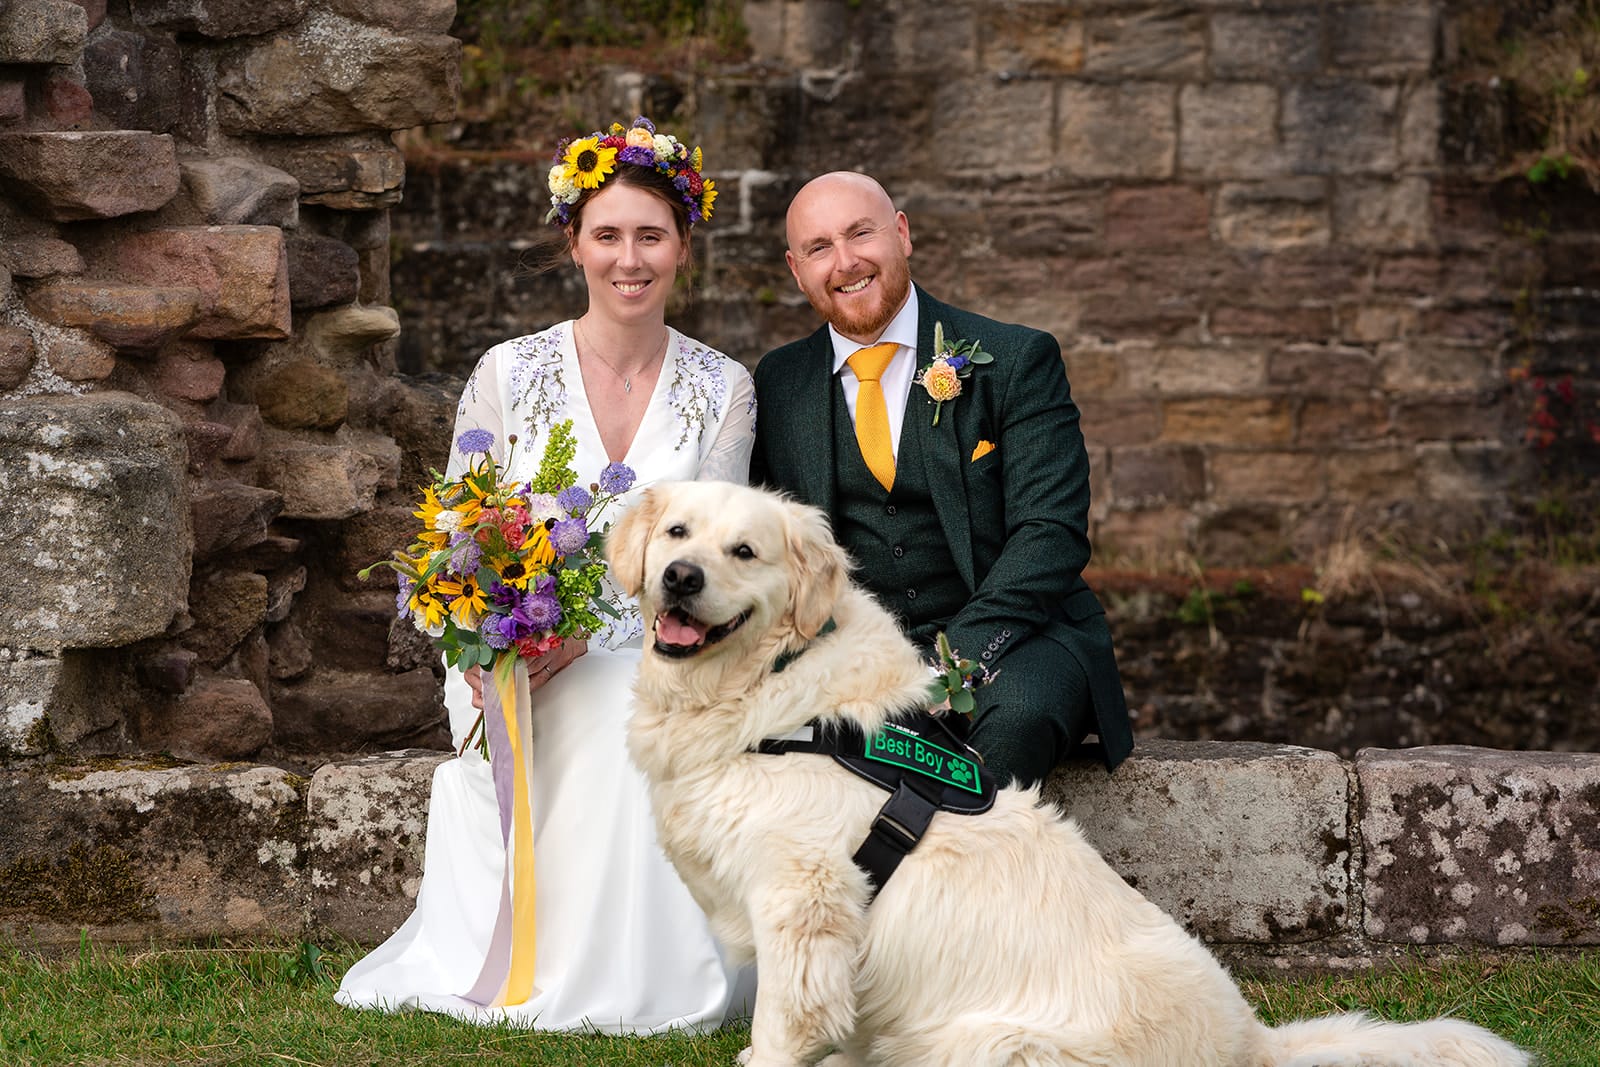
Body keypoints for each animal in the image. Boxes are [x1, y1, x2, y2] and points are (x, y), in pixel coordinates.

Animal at [606, 480, 1529, 1067]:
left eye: (745, 549)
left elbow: (781, 1028)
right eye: (679, 533)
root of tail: (1250, 1043)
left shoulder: (804, 906)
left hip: (991, 1045)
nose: (681, 577)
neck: (769, 692)